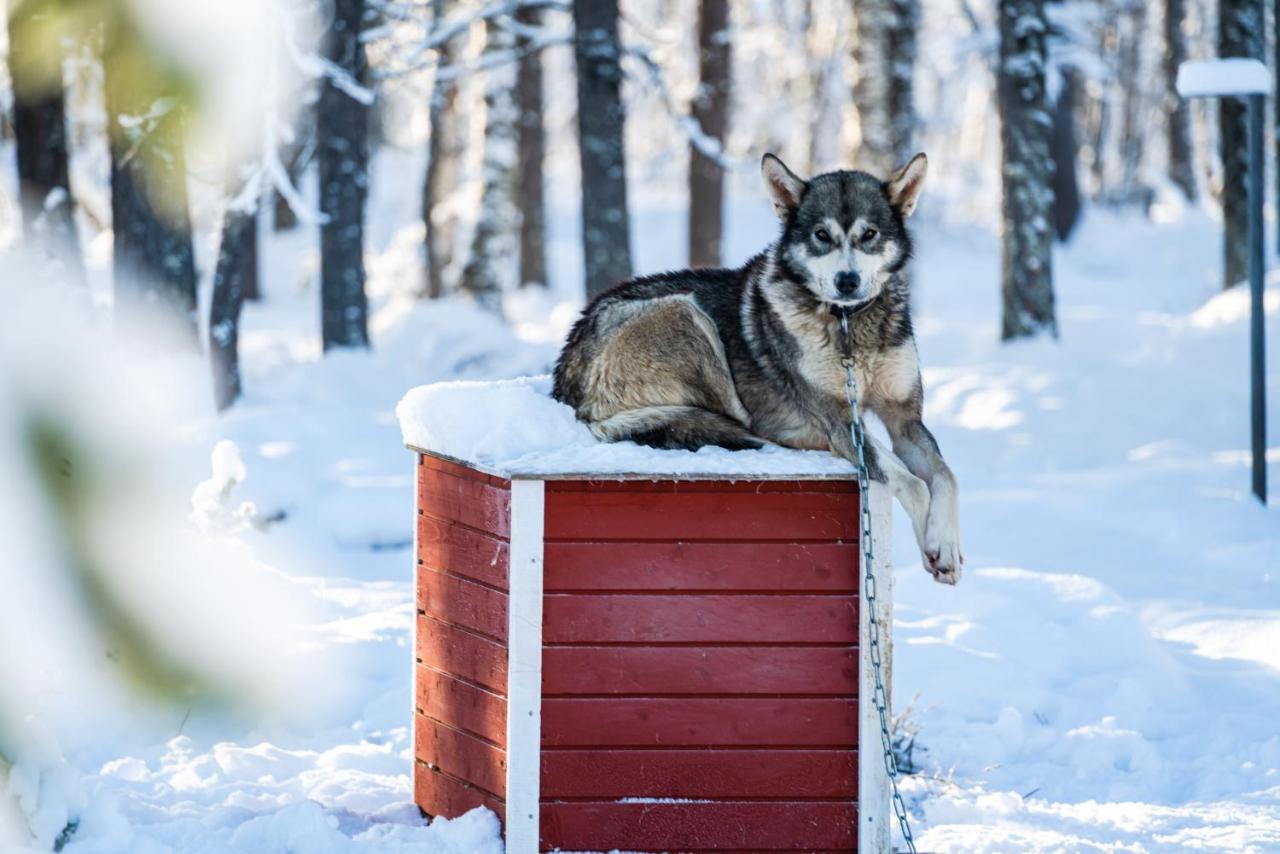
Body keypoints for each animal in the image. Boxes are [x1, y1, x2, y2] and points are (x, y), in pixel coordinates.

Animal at [550, 153, 962, 583]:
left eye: (869, 235)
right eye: (821, 235)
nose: (846, 281)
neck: (849, 326)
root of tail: (566, 378)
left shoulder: (905, 420)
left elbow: (946, 476)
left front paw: (946, 546)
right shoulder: (841, 425)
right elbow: (912, 483)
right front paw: (932, 548)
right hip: (688, 315)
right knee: (737, 422)